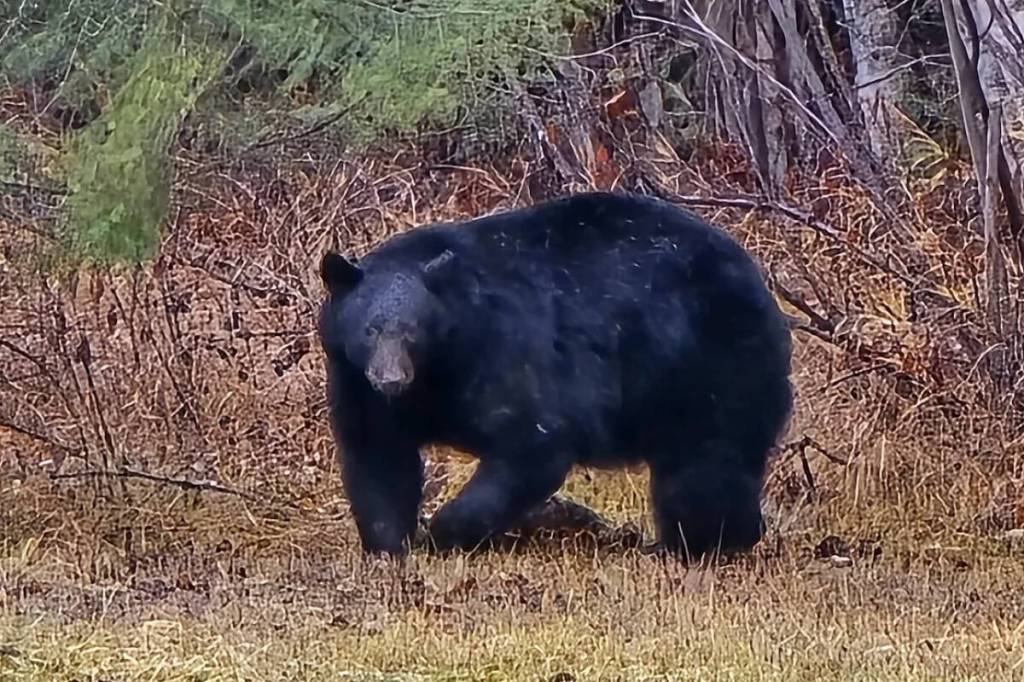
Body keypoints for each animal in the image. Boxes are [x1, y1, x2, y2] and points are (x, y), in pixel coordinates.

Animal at [317, 191, 793, 560]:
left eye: (412, 331)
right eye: (370, 329)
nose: (391, 379)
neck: (438, 368)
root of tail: (758, 280)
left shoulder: (501, 349)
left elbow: (532, 439)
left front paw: (444, 530)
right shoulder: (355, 380)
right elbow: (378, 452)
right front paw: (389, 546)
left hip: (707, 359)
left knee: (706, 459)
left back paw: (705, 542)